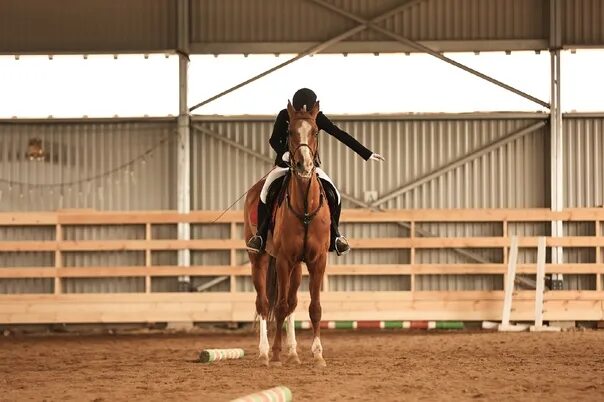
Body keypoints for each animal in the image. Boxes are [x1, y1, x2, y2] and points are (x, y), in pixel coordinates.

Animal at [243, 101, 332, 368]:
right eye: (290, 132)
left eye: (315, 131)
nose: (304, 166)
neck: (304, 208)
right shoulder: (283, 260)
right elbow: (279, 306)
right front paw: (275, 353)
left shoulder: (316, 261)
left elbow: (314, 308)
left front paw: (318, 354)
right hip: (260, 259)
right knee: (264, 303)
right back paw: (264, 352)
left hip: (297, 268)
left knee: (292, 303)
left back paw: (293, 352)